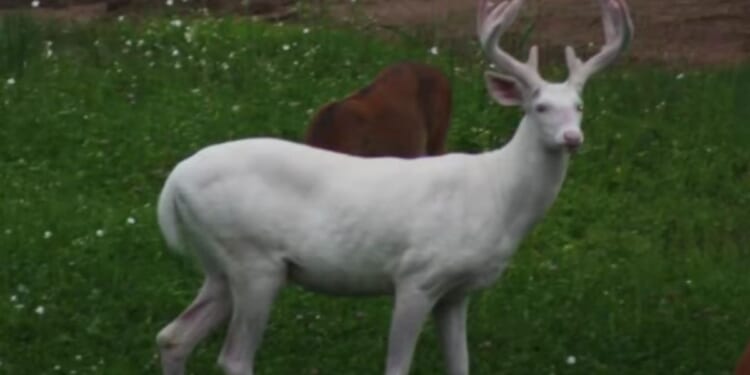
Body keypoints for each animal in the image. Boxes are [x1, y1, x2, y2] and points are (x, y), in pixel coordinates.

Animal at [153, 0, 636, 374]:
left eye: (579, 106)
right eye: (539, 107)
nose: (572, 138)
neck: (496, 197)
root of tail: (174, 181)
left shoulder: (457, 292)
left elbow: (460, 366)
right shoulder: (416, 275)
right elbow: (397, 366)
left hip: (220, 265)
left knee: (173, 336)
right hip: (254, 259)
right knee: (233, 357)